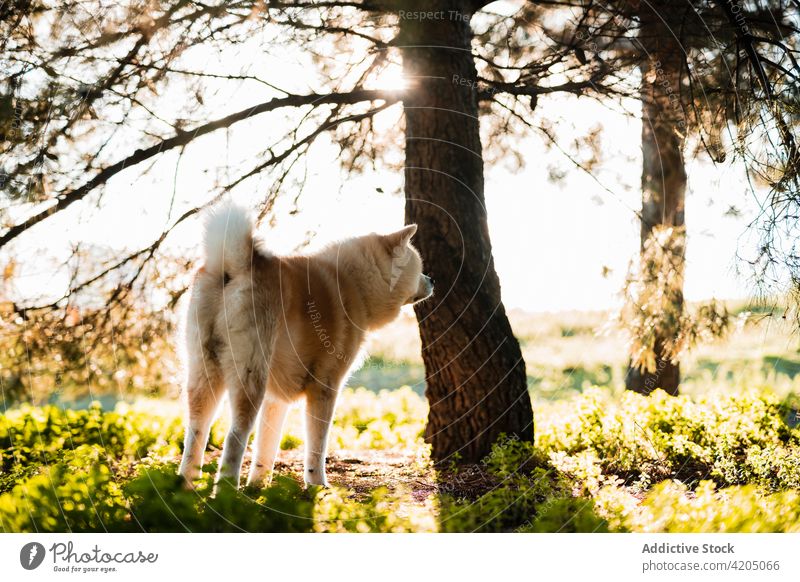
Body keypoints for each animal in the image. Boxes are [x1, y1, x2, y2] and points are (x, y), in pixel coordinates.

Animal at [179, 205, 434, 488]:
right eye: (419, 266)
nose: (431, 279)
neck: (354, 283)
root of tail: (233, 268)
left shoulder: (276, 397)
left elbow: (266, 448)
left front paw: (258, 486)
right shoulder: (325, 387)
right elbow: (317, 445)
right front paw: (317, 486)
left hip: (204, 374)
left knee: (196, 434)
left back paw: (184, 488)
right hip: (250, 379)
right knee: (234, 437)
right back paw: (226, 492)